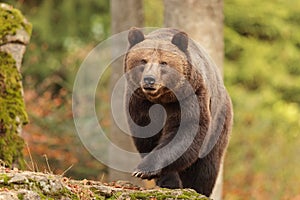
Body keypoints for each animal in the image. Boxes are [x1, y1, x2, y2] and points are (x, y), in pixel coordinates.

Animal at [123, 27, 233, 197]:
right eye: (143, 60)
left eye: (163, 63)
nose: (149, 80)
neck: (161, 99)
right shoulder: (139, 102)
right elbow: (147, 136)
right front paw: (168, 181)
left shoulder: (190, 96)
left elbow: (185, 131)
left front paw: (143, 170)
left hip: (219, 123)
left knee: (206, 166)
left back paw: (199, 189)